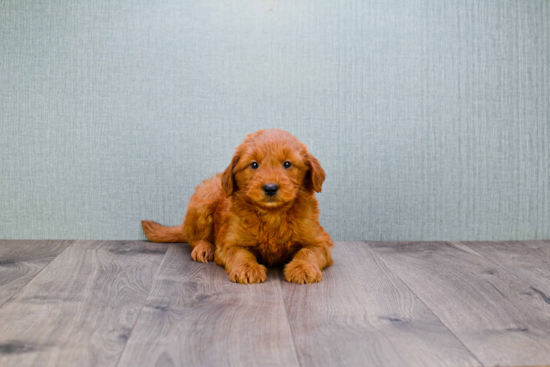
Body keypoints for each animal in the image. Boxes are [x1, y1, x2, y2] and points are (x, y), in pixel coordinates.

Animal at [141, 129, 332, 284]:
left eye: (287, 164)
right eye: (254, 164)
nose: (270, 188)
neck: (272, 214)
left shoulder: (320, 241)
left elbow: (308, 252)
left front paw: (303, 269)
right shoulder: (229, 242)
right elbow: (242, 253)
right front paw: (247, 269)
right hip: (205, 198)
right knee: (195, 239)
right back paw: (204, 248)